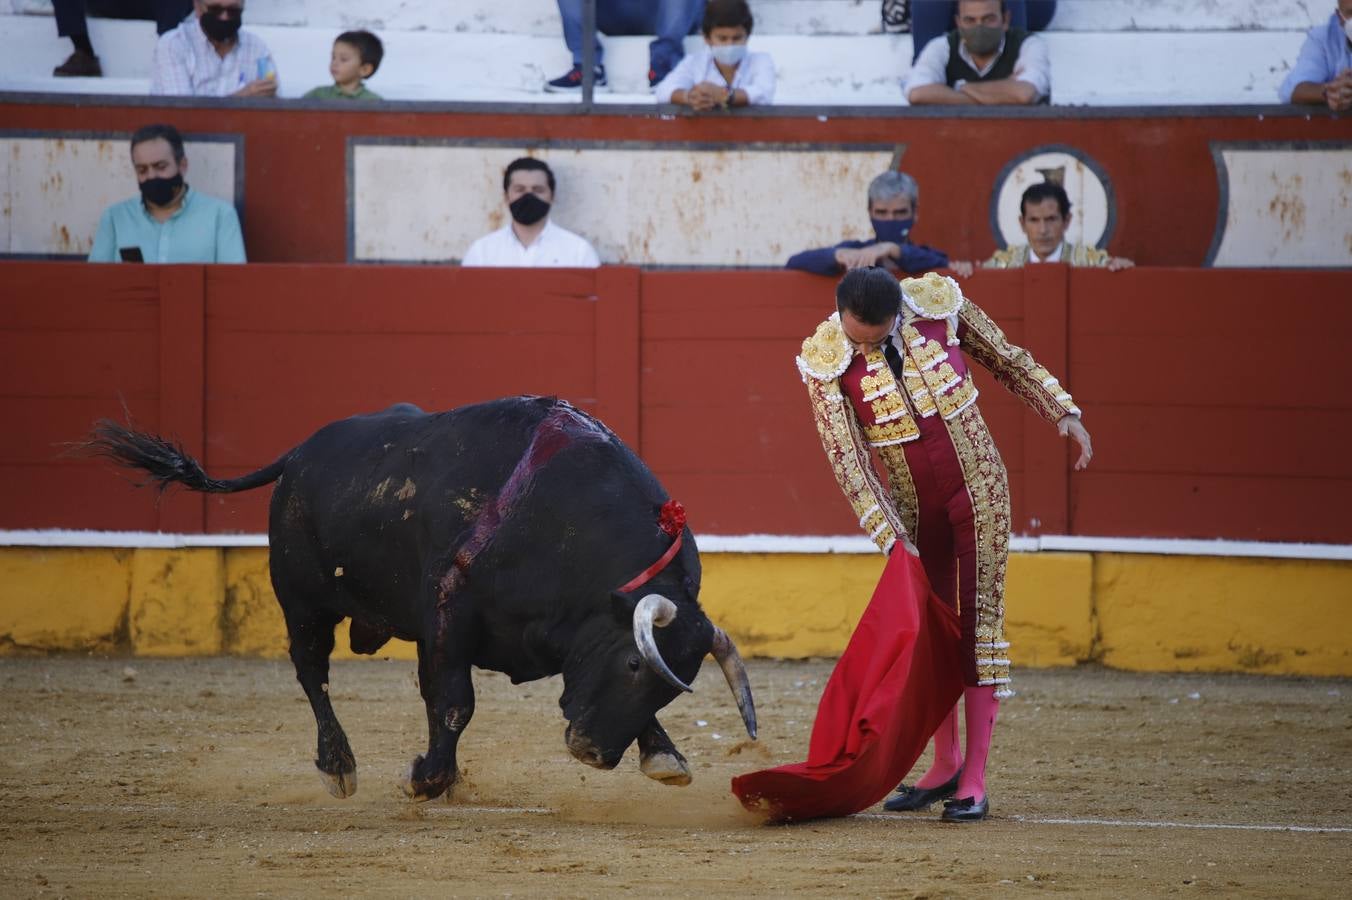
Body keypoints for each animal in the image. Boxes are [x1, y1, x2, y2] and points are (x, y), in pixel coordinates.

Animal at [89, 397, 757, 794]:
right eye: (631, 665)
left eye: (670, 688)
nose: (593, 754)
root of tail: (299, 454)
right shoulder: (449, 613)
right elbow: (456, 702)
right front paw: (427, 778)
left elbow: (443, 697)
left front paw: (663, 756)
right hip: (301, 600)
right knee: (311, 672)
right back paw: (339, 766)